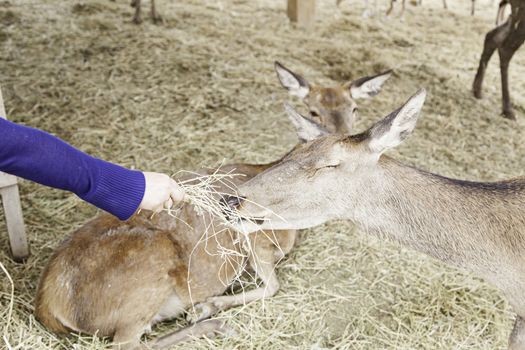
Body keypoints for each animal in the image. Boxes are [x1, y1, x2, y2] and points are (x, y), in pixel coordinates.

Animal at [34, 61, 390, 348]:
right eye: (313, 111)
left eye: (355, 109)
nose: (346, 144)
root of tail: (49, 303)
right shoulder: (256, 239)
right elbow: (273, 286)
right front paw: (209, 305)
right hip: (148, 267)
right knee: (128, 344)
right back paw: (211, 323)